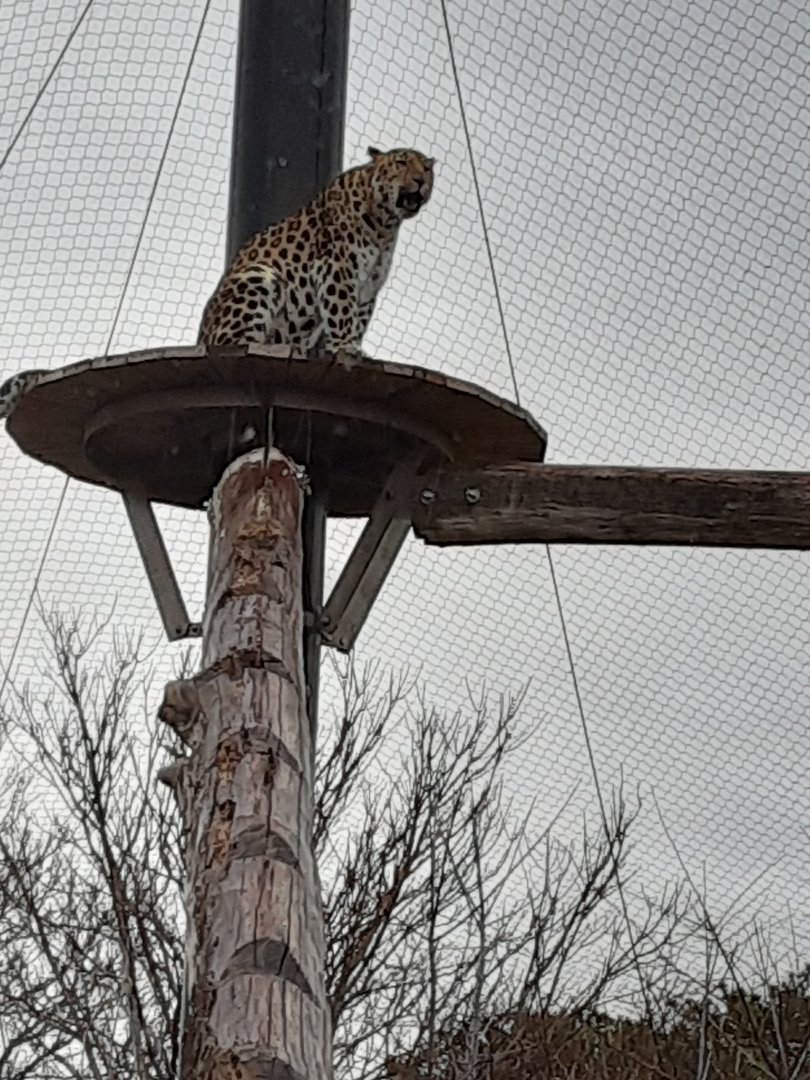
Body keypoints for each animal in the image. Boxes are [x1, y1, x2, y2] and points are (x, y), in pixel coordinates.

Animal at [198, 146, 435, 357]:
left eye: (426, 169)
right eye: (401, 162)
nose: (420, 180)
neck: (385, 224)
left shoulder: (369, 284)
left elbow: (359, 319)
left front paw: (354, 347)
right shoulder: (337, 267)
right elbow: (342, 310)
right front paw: (343, 346)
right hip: (260, 274)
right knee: (234, 341)